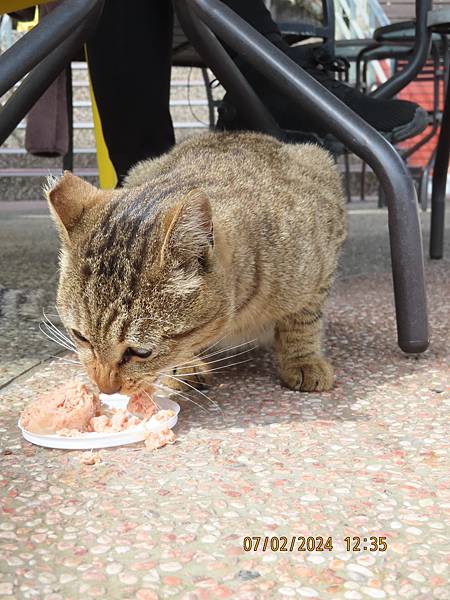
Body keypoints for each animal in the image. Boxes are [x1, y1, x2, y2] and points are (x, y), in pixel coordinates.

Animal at [46, 131, 344, 394]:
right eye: (80, 336)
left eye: (141, 352)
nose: (105, 388)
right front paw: (187, 365)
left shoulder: (324, 260)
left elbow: (303, 321)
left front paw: (302, 360)